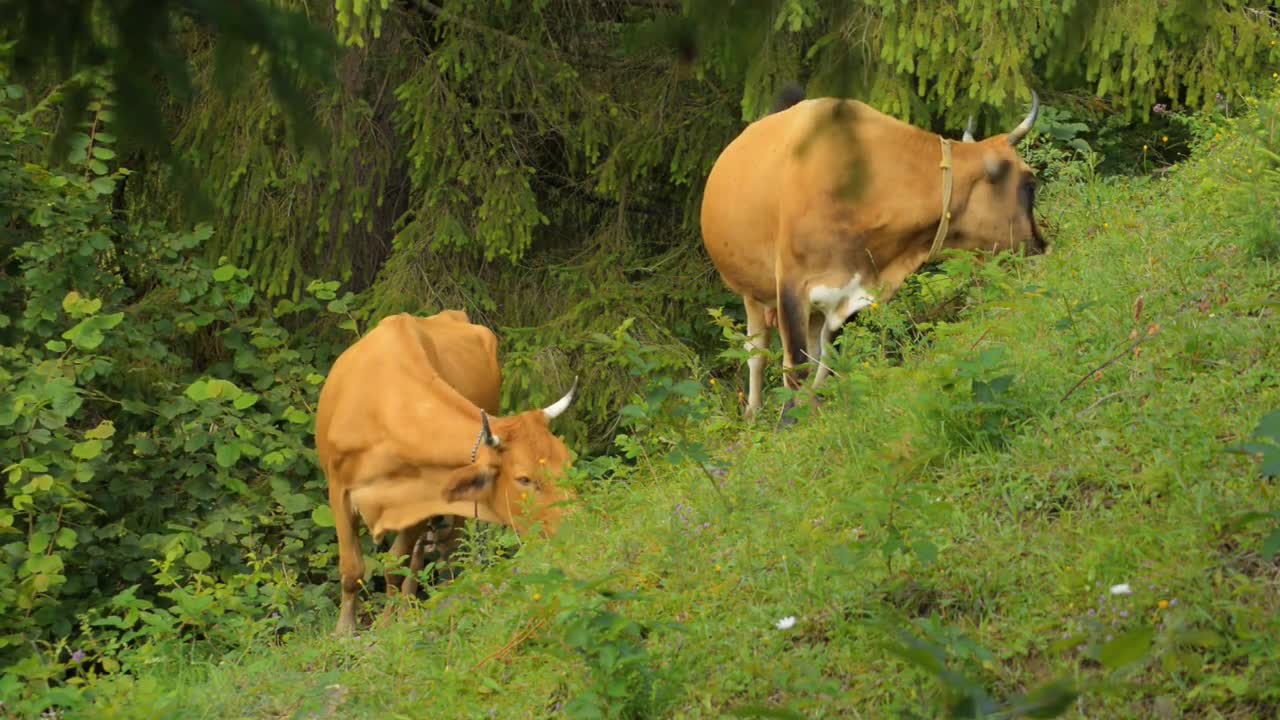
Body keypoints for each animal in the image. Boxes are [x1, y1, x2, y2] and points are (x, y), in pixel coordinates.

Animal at [317, 304, 578, 630]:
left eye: (567, 461)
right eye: (524, 479)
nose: (575, 524)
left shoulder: (422, 496)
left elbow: (396, 565)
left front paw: (392, 622)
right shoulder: (338, 490)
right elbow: (352, 570)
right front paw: (344, 630)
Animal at [701, 88, 1049, 420]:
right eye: (1030, 183)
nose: (1042, 246)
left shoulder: (853, 294)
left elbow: (827, 362)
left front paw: (818, 411)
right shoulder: (791, 286)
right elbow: (795, 366)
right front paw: (791, 422)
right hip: (753, 293)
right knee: (755, 352)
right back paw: (753, 413)